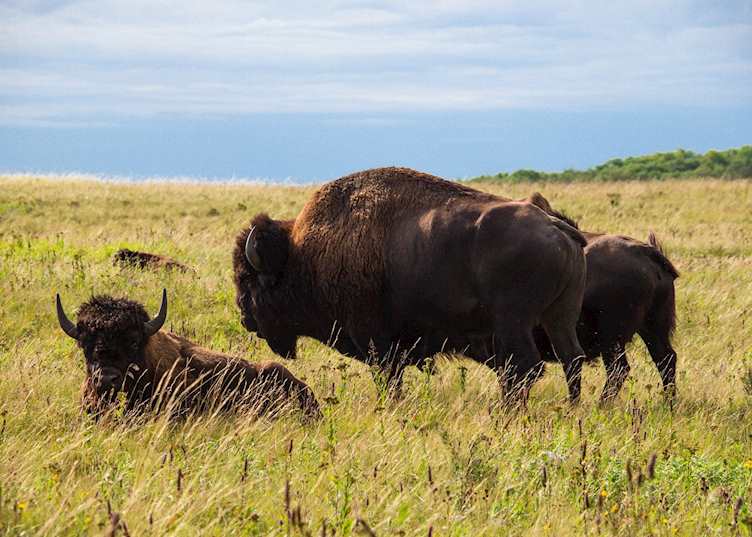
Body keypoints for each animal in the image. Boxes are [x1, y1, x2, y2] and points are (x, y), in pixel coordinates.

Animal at [233, 167, 588, 403]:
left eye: (247, 281)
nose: (245, 319)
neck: (302, 254)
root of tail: (554, 225)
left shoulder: (376, 342)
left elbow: (389, 378)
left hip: (513, 321)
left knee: (525, 368)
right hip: (560, 316)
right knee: (571, 359)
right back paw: (571, 408)